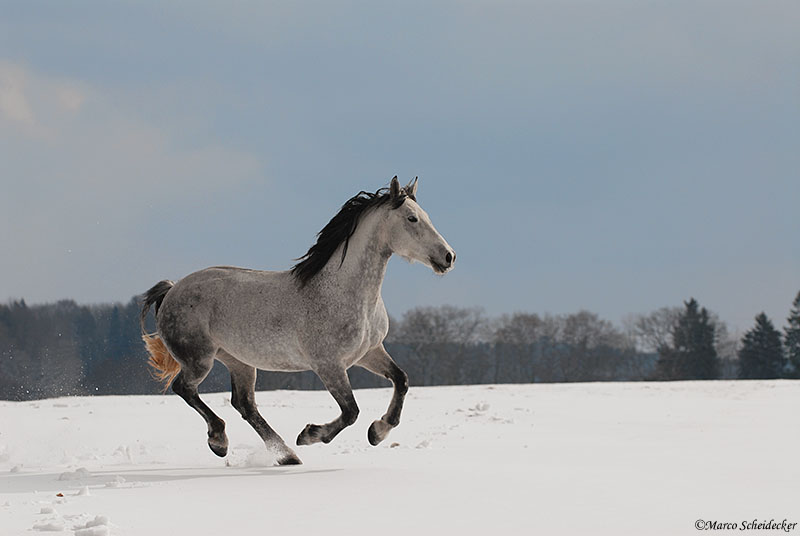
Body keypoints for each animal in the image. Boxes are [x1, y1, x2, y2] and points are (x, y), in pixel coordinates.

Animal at [139, 177, 456, 464]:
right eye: (412, 218)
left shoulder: (369, 352)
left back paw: (286, 456)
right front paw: (310, 434)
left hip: (239, 361)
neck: (344, 293)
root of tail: (173, 289)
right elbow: (350, 411)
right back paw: (221, 441)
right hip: (200, 359)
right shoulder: (328, 365)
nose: (448, 256)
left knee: (244, 404)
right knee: (185, 389)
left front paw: (378, 432)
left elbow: (401, 380)